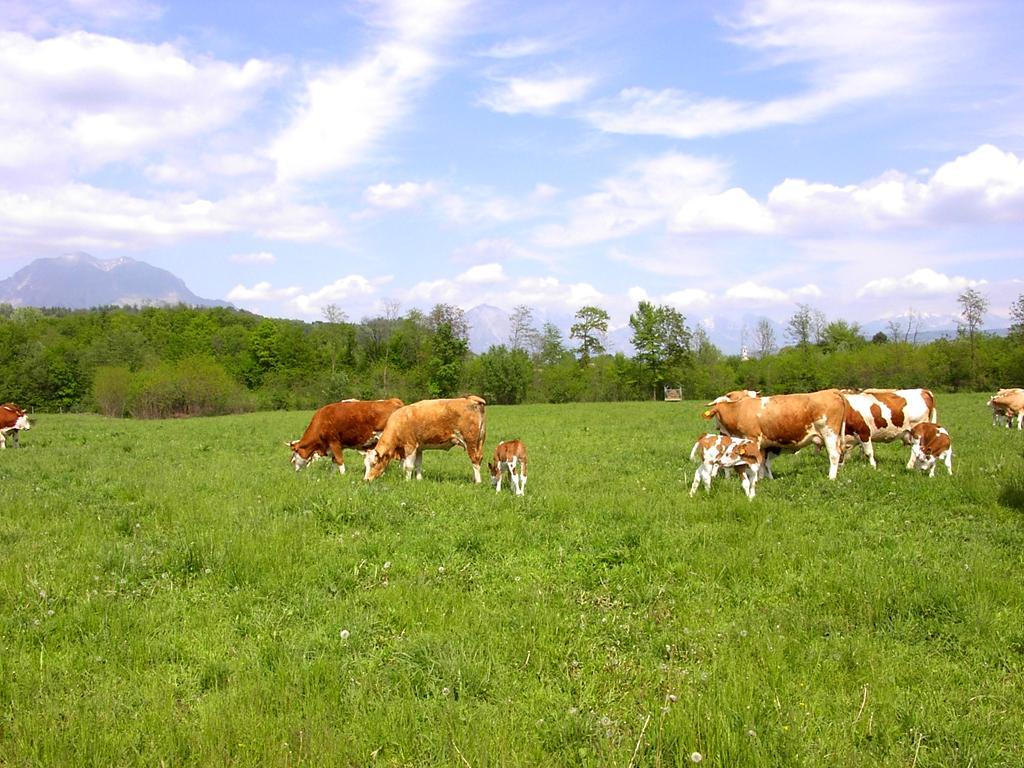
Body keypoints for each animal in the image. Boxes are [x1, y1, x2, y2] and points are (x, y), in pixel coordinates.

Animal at [704, 391, 847, 481]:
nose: (717, 428)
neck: (738, 411)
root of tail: (831, 391)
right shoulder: (762, 444)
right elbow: (761, 461)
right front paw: (761, 478)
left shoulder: (752, 438)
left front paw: (754, 479)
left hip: (829, 433)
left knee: (834, 455)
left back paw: (831, 478)